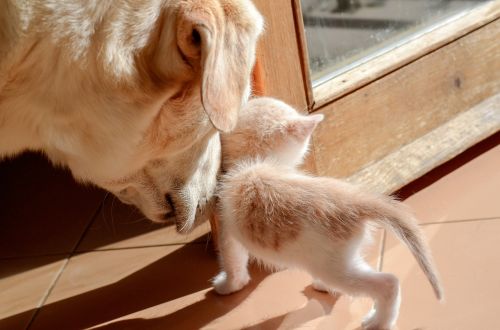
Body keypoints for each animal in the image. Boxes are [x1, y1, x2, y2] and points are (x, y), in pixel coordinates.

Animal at [214, 97, 442, 330]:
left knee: (389, 283)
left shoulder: (226, 222)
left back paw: (380, 321)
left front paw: (229, 285)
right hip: (341, 258)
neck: (257, 161)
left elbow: (232, 258)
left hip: (333, 266)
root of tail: (355, 199)